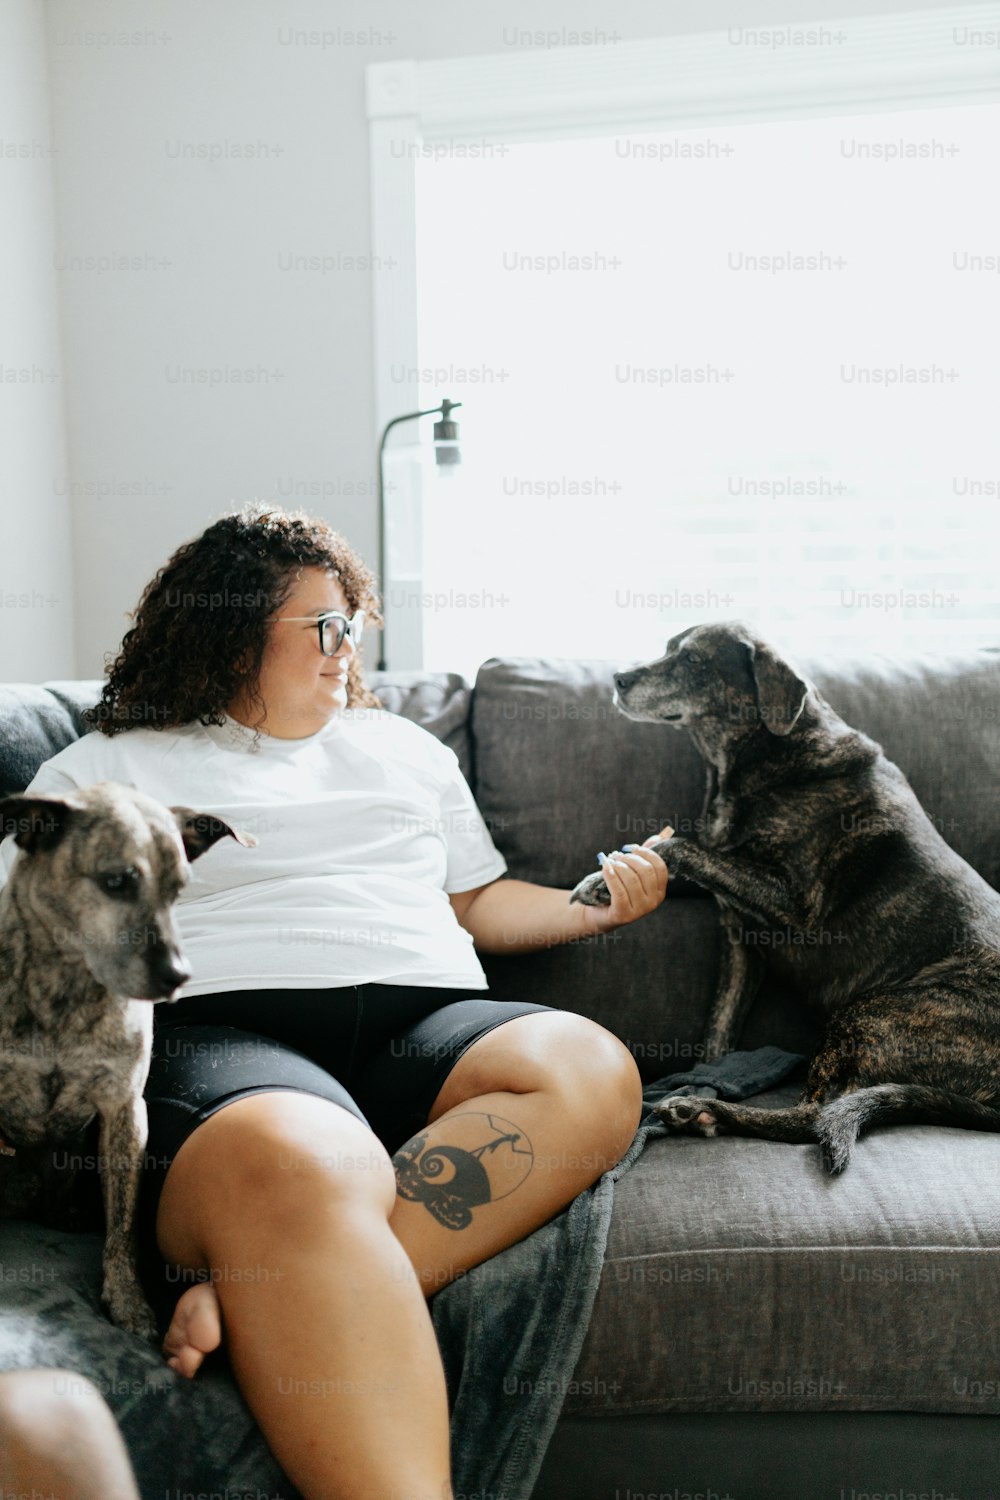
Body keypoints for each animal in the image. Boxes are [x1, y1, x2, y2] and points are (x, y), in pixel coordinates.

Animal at [575, 621, 1000, 1170]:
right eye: (669, 648)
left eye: (692, 661)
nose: (619, 678)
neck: (766, 755)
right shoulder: (740, 940)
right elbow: (717, 1034)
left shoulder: (797, 907)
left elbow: (680, 846)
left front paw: (614, 875)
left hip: (873, 1013)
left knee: (814, 1116)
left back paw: (701, 1112)